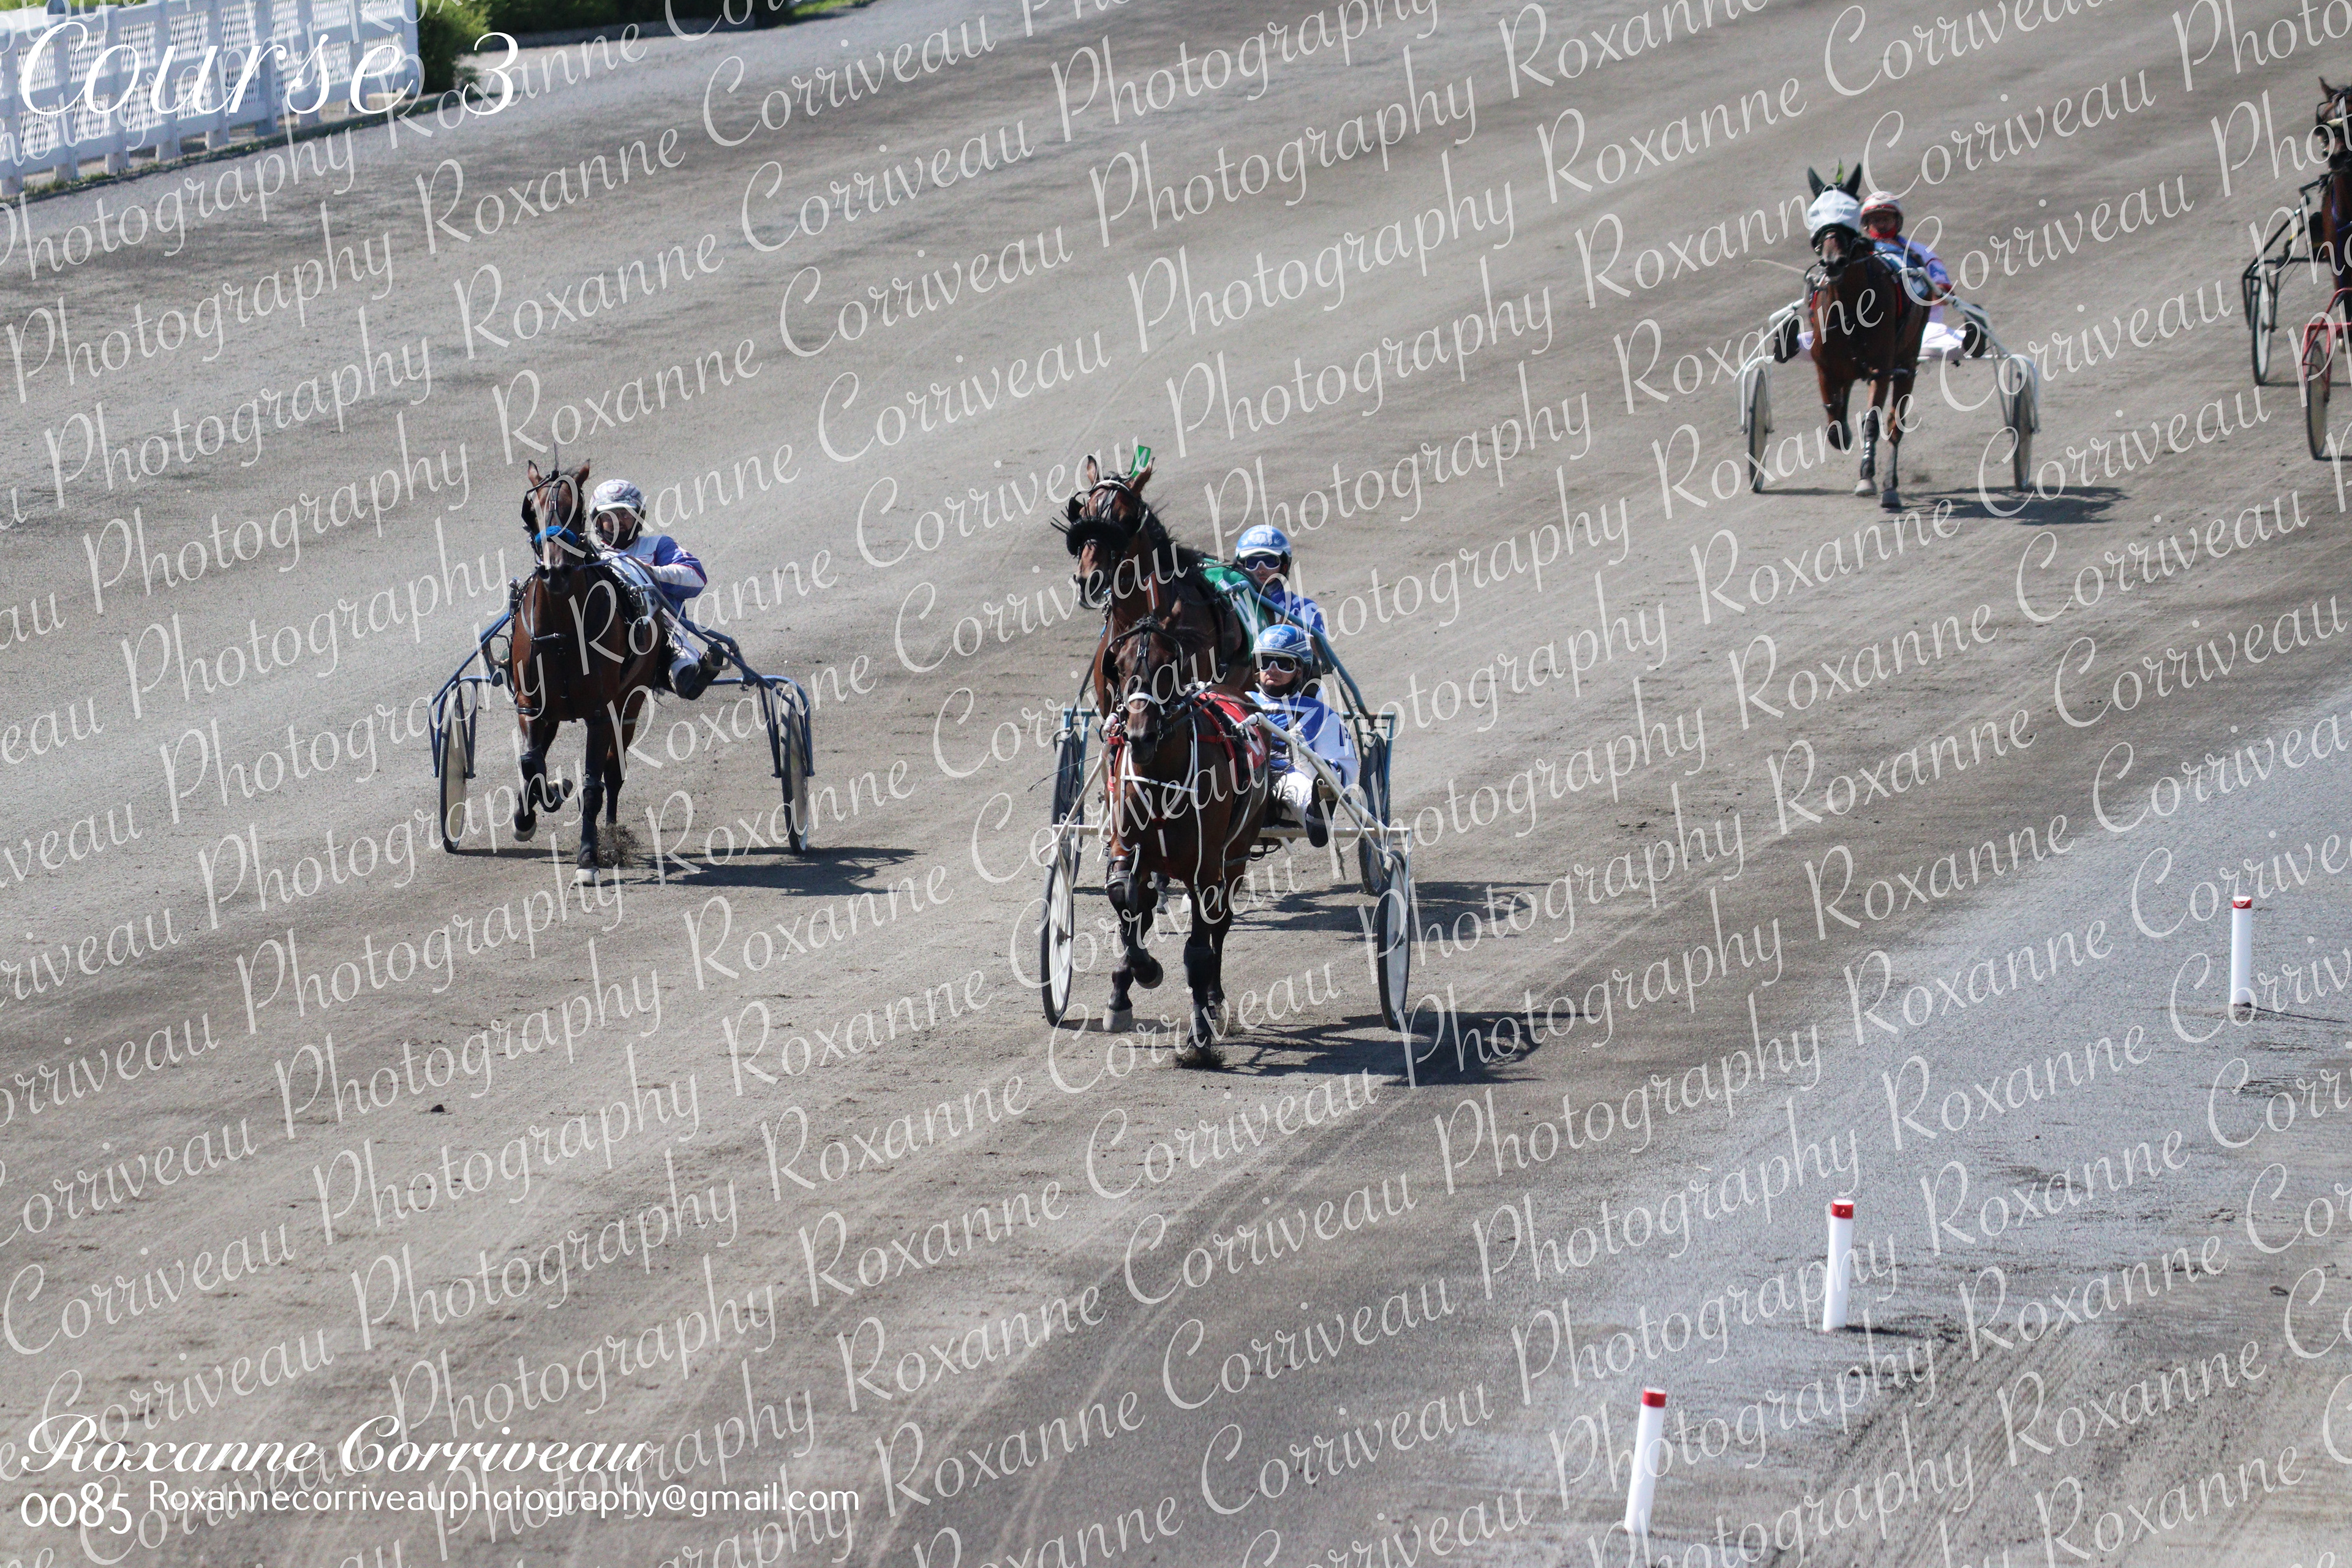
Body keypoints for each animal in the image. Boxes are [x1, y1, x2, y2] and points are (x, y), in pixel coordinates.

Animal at [510, 460, 669, 879]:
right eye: (531, 511)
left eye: (575, 510)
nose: (556, 572)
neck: (563, 630)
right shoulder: (531, 704)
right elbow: (531, 764)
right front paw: (536, 807)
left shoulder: (600, 711)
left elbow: (594, 784)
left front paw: (588, 856)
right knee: (538, 756)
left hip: (630, 701)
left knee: (614, 772)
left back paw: (610, 835)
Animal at [1098, 604, 1272, 1065]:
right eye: (1120, 667)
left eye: (1166, 666)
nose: (1138, 735)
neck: (1162, 777)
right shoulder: (1128, 850)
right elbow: (1125, 899)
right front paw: (1133, 980)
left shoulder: (1205, 868)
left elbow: (1197, 949)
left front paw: (1199, 1036)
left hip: (1236, 854)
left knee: (1220, 925)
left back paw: (1213, 998)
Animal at [1805, 165, 1929, 511]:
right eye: (1817, 212)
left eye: (1847, 210)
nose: (1833, 262)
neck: (1850, 308)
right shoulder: (1825, 368)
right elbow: (1834, 419)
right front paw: (1843, 434)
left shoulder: (1881, 369)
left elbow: (1873, 422)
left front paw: (1866, 476)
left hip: (1907, 362)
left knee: (1895, 424)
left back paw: (1890, 486)